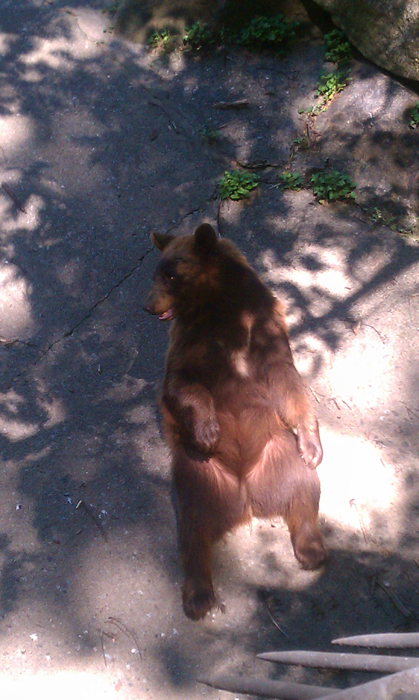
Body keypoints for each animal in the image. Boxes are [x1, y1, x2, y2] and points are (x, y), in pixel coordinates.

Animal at [145, 223, 328, 616]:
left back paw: (311, 550)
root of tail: (246, 499)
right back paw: (198, 595)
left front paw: (313, 446)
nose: (148, 306)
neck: (220, 308)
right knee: (193, 531)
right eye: (156, 273)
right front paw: (208, 429)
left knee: (305, 492)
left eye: (171, 275)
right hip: (197, 475)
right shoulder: (190, 343)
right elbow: (181, 383)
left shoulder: (264, 325)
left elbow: (287, 380)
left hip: (280, 453)